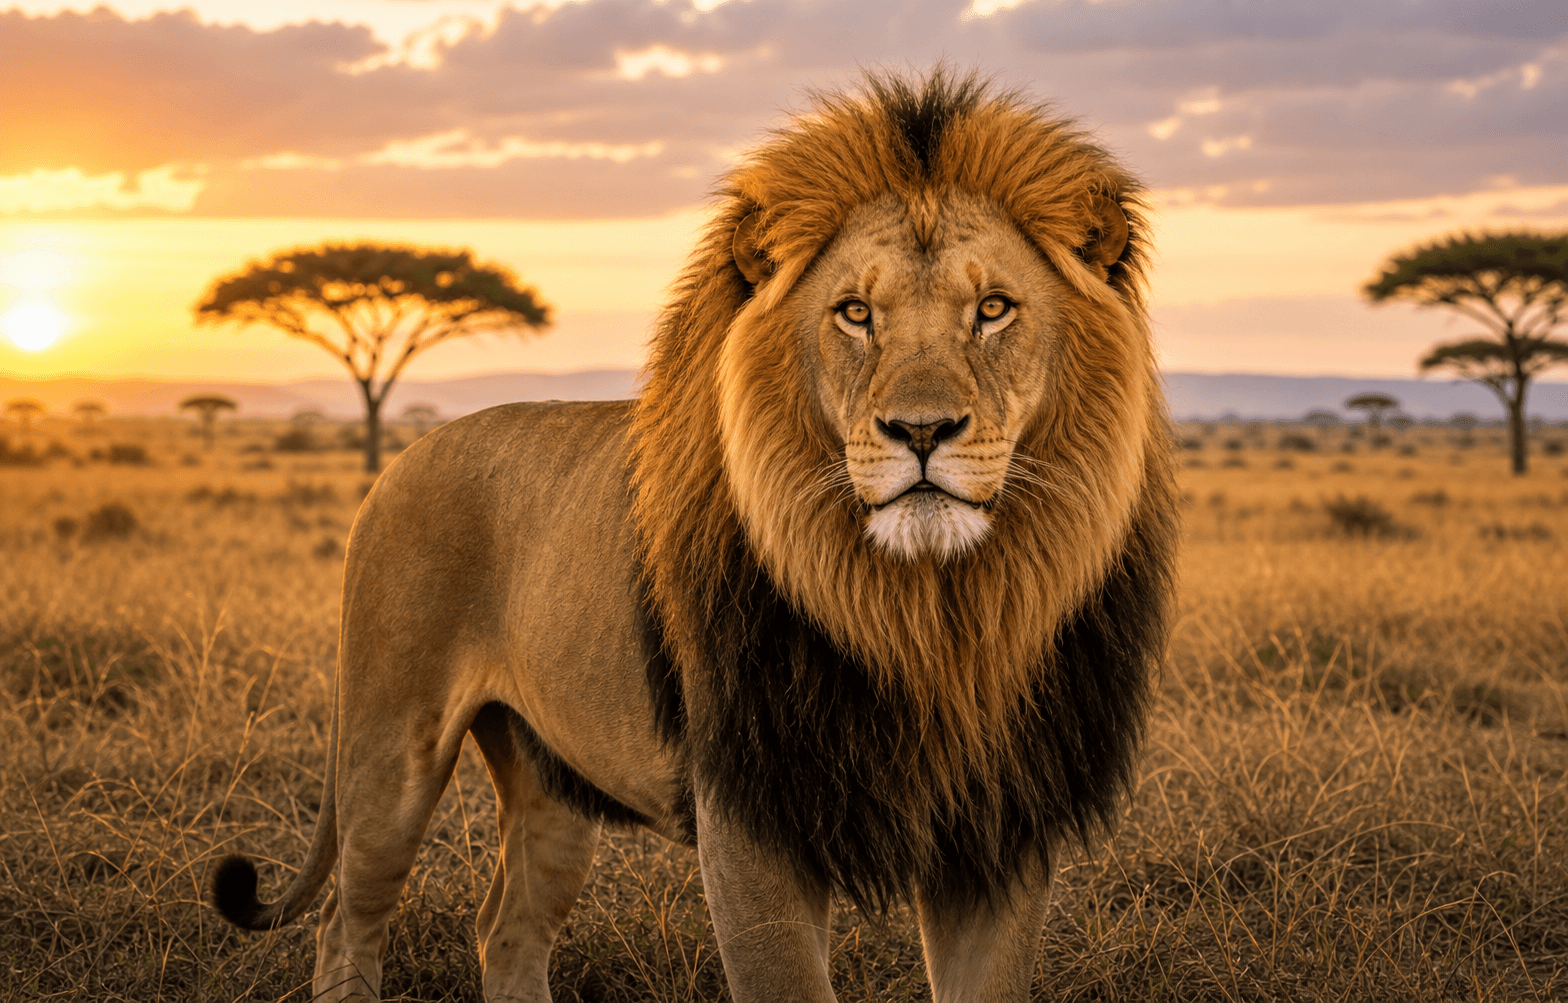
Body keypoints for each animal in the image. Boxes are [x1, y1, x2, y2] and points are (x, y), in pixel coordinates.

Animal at [210, 69, 1178, 1003]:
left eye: (994, 309)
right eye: (855, 313)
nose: (921, 429)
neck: (931, 619)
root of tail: (401, 458)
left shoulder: (1000, 830)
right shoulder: (752, 817)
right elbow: (786, 985)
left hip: (552, 778)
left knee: (507, 928)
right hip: (390, 750)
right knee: (347, 922)